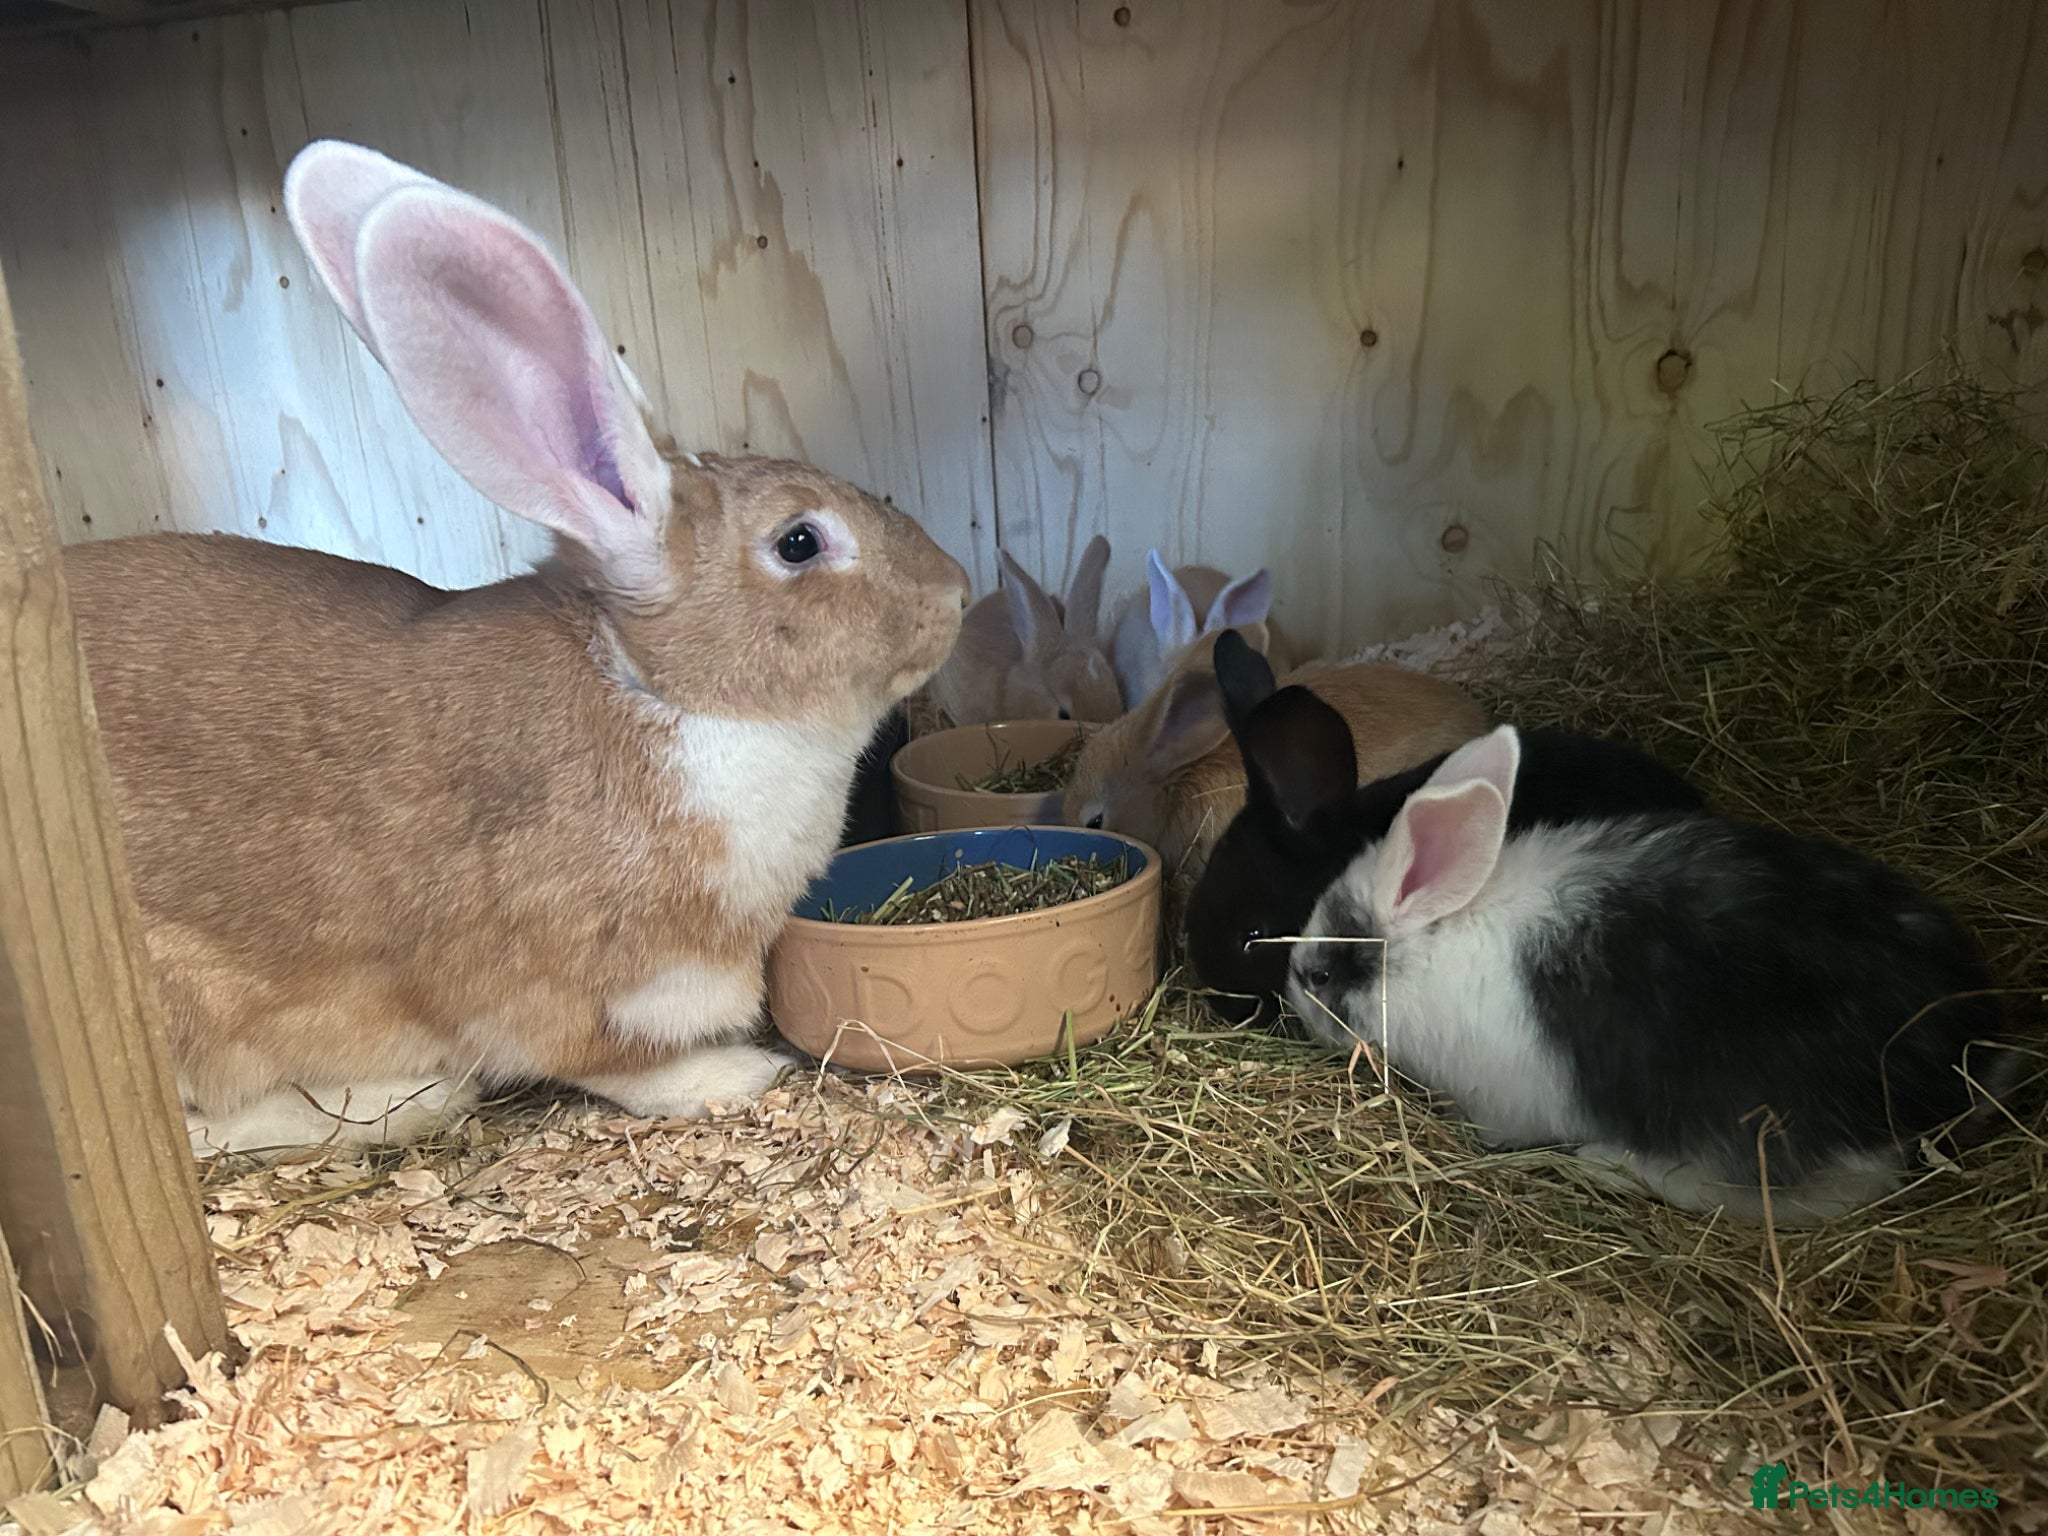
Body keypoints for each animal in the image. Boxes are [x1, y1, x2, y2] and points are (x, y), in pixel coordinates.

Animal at [61, 140, 969, 1160]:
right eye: (800, 542)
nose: (955, 590)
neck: (660, 693)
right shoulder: (554, 986)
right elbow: (609, 1065)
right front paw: (730, 1074)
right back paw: (409, 1099)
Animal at [1283, 723, 2015, 1220]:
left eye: (1321, 976)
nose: (1293, 991)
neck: (1438, 940)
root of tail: (1971, 1052)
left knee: (1832, 1191)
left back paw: (1609, 1165)